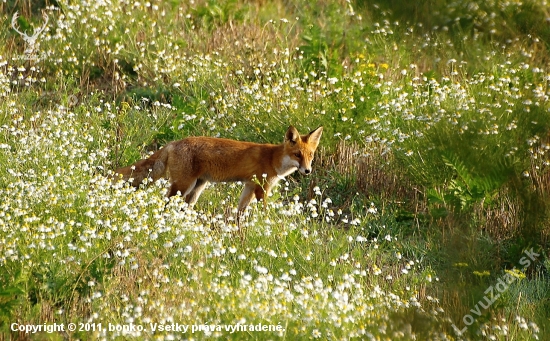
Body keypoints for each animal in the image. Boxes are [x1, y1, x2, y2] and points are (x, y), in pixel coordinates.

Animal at [115, 126, 326, 216]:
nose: (307, 171)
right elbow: (264, 210)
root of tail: (173, 143)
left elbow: (240, 212)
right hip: (183, 185)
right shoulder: (261, 188)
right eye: (297, 155)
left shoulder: (249, 187)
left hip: (197, 188)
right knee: (166, 201)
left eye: (310, 156)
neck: (273, 159)